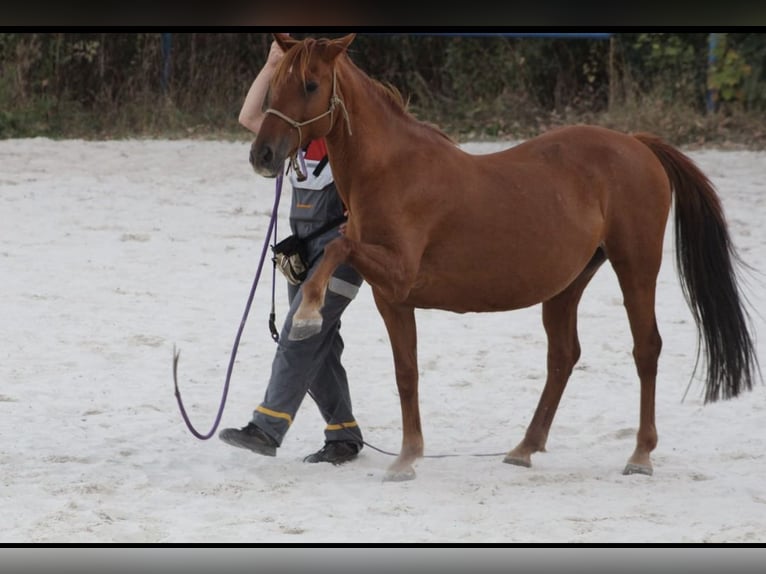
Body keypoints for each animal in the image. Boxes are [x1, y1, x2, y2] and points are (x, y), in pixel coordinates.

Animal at [250, 33, 756, 484]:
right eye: (275, 85)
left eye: (310, 85)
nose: (263, 154)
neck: (392, 171)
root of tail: (636, 143)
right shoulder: (390, 298)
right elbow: (407, 372)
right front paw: (408, 457)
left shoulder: (396, 274)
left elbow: (337, 248)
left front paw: (308, 313)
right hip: (567, 282)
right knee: (563, 355)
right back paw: (524, 448)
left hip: (636, 265)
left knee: (646, 348)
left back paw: (640, 455)